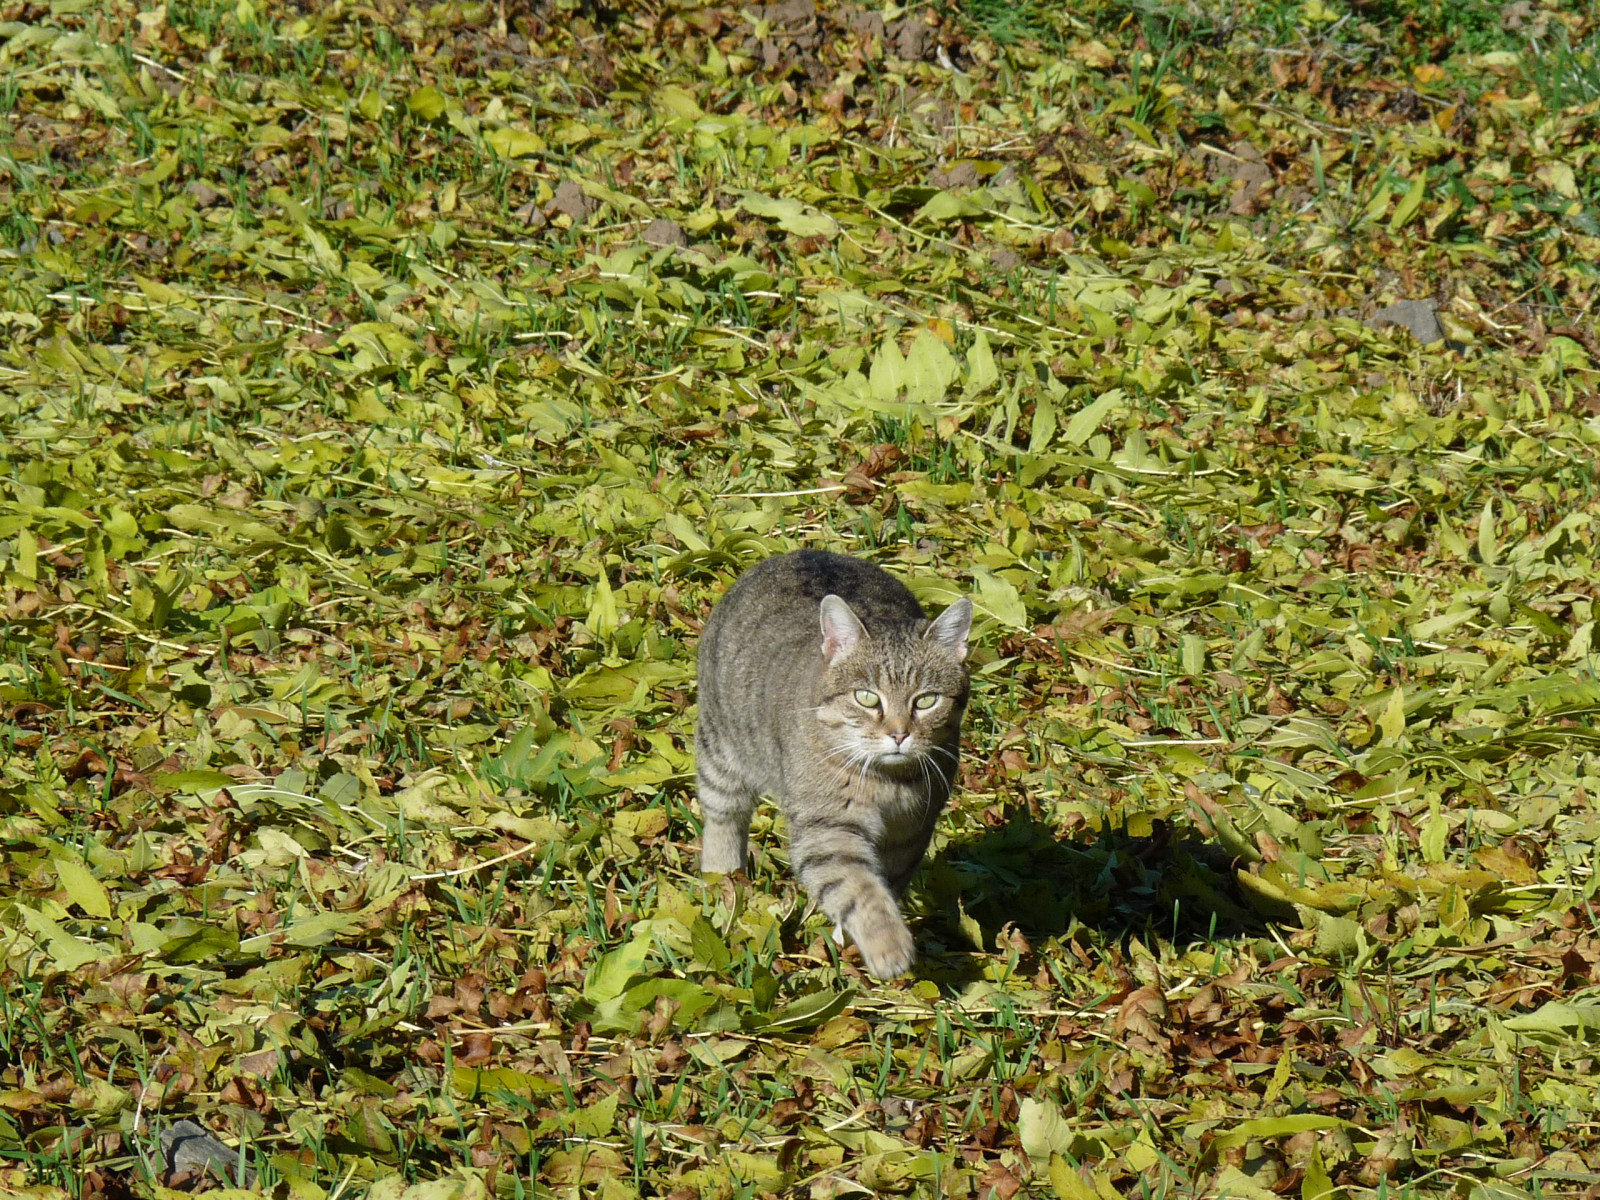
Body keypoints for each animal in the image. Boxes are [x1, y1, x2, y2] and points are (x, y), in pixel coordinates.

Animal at [694, 550, 966, 979]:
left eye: (926, 701)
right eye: (866, 697)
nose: (899, 734)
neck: (890, 783)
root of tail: (801, 552)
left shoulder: (911, 832)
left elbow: (885, 884)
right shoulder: (827, 830)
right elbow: (858, 889)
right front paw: (888, 945)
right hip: (721, 750)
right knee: (723, 816)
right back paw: (722, 880)